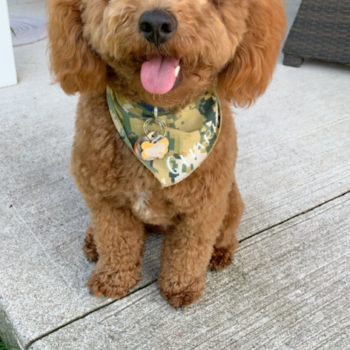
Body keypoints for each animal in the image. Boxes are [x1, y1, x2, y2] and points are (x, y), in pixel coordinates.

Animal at [47, 0, 286, 306]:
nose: (156, 23)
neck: (156, 113)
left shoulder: (203, 208)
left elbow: (188, 251)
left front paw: (181, 286)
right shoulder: (106, 201)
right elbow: (116, 240)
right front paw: (113, 278)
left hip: (231, 201)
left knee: (226, 234)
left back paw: (219, 253)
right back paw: (92, 242)